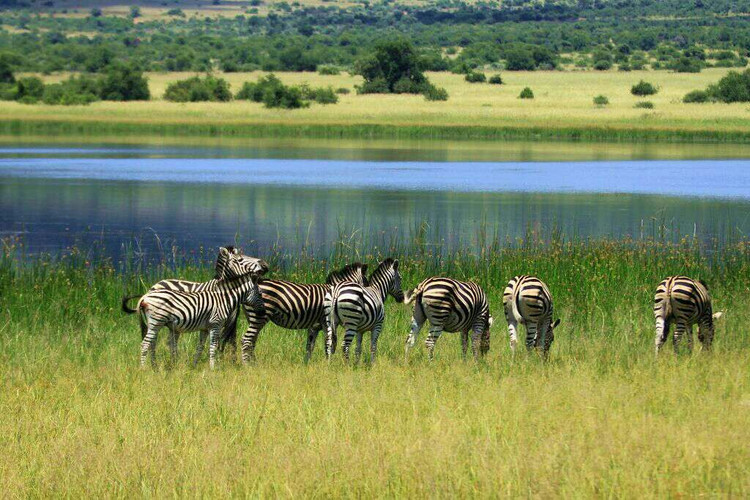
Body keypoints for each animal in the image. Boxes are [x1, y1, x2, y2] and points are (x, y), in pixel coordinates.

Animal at [235, 262, 370, 364]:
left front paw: (307, 364)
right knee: (246, 340)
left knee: (252, 341)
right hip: (259, 317)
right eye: (366, 284)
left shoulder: (314, 326)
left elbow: (310, 346)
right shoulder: (325, 322)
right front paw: (328, 363)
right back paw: (247, 365)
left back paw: (254, 363)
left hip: (253, 318)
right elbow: (328, 343)